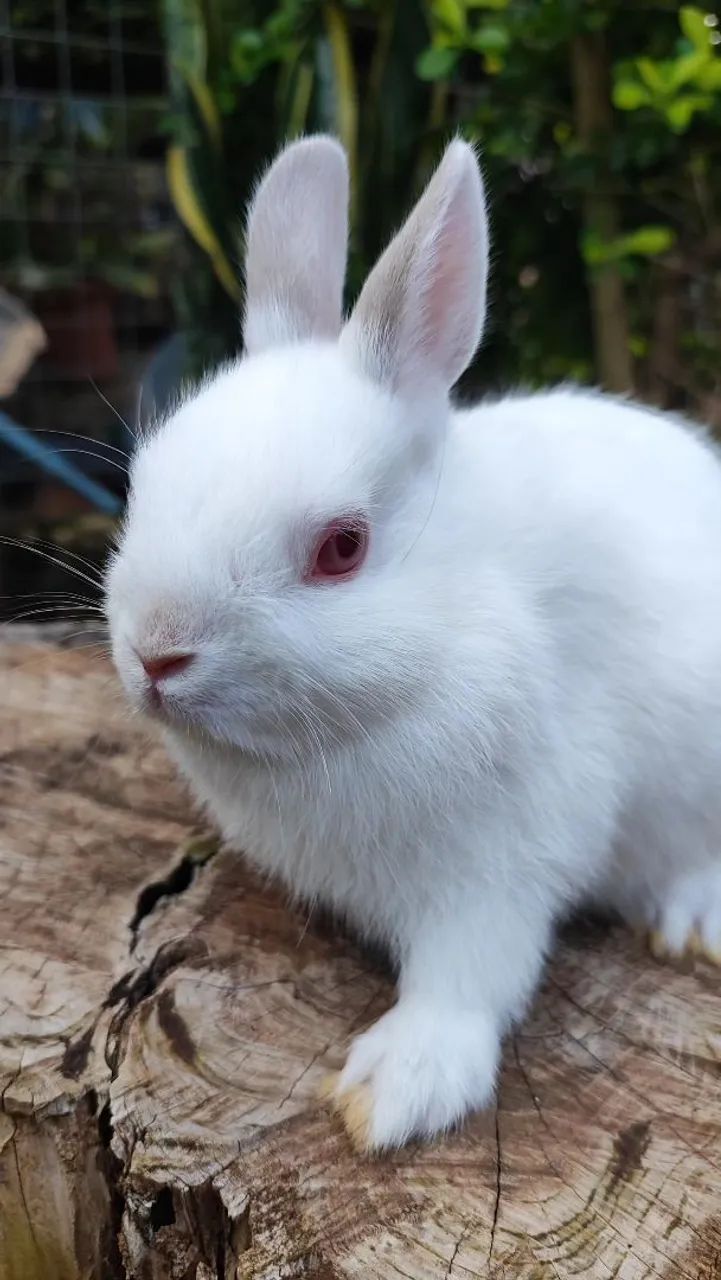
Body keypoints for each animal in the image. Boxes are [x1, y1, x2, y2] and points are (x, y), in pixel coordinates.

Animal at [105, 134, 721, 1153]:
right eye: (141, 485)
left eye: (341, 548)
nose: (156, 655)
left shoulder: (507, 855)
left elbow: (469, 975)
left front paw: (395, 1089)